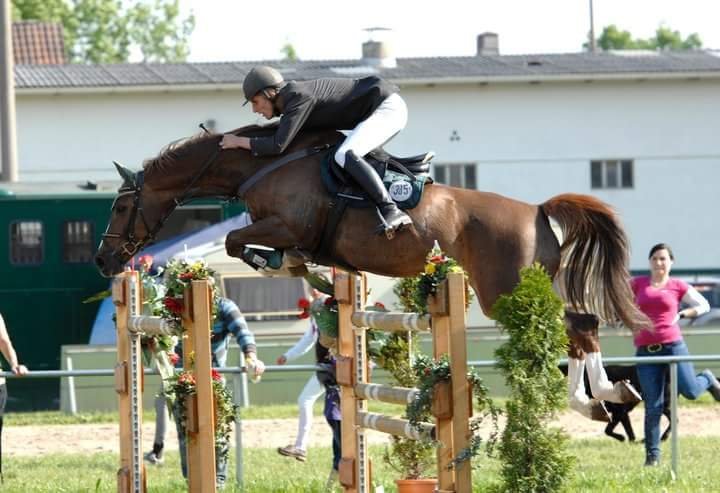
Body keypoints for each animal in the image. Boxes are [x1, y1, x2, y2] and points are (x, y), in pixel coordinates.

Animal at [95, 125, 649, 420]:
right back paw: (605, 397)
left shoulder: (283, 224)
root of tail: (536, 210)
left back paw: (595, 399)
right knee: (581, 325)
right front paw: (303, 269)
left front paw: (286, 262)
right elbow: (247, 243)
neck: (264, 164)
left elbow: (238, 242)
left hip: (505, 292)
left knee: (575, 326)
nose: (104, 260)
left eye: (121, 207)